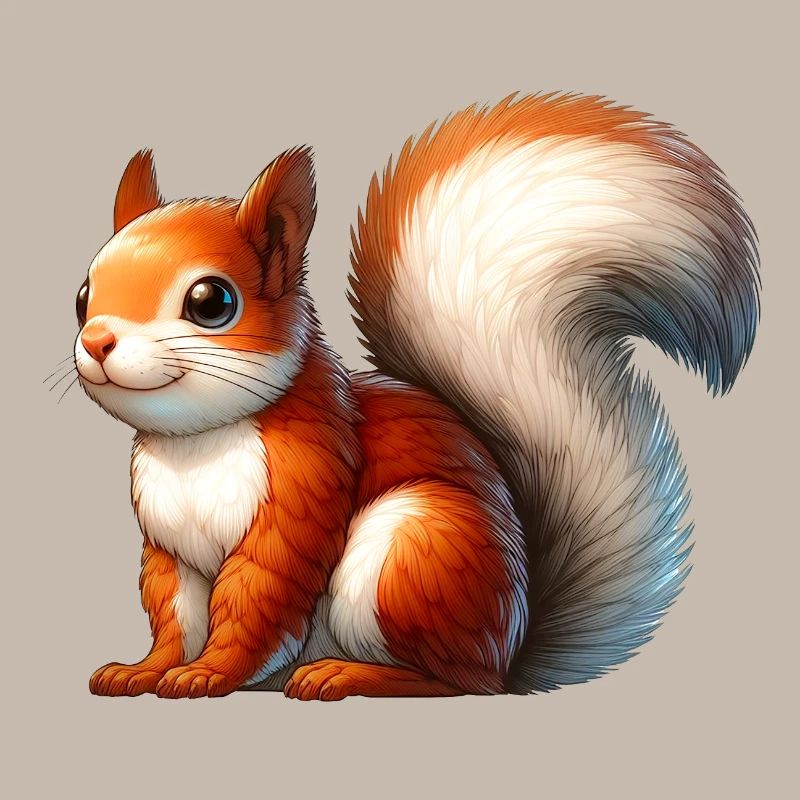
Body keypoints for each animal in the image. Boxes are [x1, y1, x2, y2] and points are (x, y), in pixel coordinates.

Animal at [70, 93, 759, 699]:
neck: (196, 445)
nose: (97, 341)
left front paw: (208, 674)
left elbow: (258, 597)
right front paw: (143, 670)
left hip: (414, 550)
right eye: (82, 295)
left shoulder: (302, 490)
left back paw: (351, 675)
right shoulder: (167, 545)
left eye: (210, 301)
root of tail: (507, 655)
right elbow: (173, 614)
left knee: (452, 683)